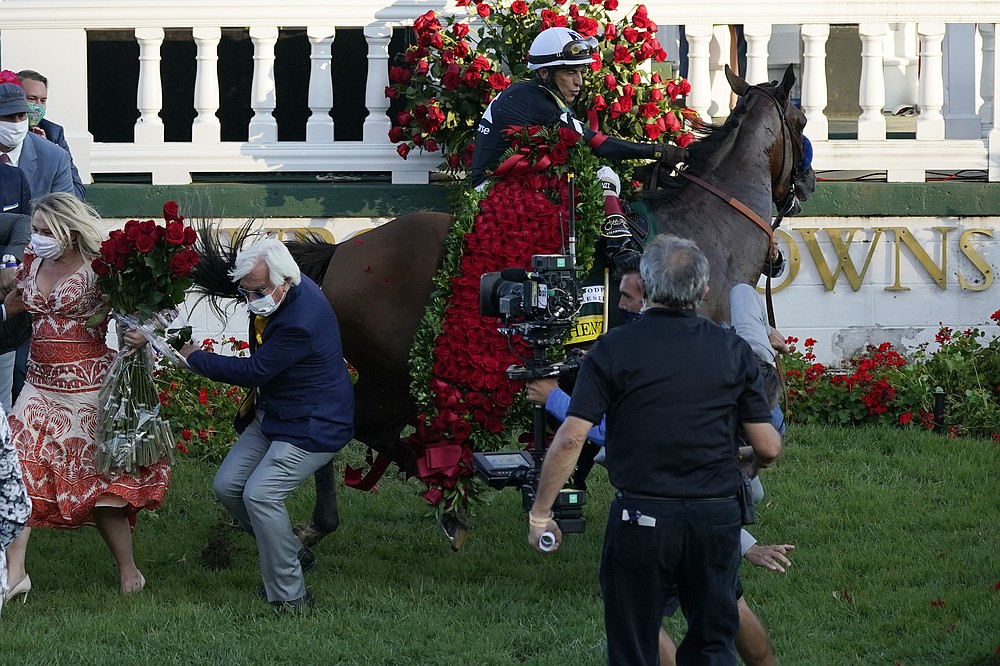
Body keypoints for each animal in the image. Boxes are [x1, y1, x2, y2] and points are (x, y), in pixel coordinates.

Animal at [189, 65, 812, 548]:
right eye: (802, 123)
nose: (805, 184)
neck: (705, 234)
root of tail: (342, 251)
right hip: (392, 373)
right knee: (339, 424)